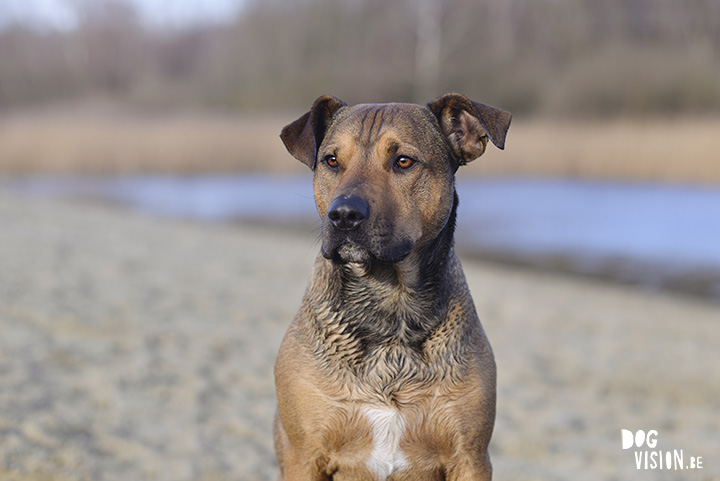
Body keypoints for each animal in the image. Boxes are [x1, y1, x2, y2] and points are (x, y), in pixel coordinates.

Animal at [272, 92, 512, 478]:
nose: (343, 214)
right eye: (331, 160)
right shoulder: (304, 454)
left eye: (403, 161)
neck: (390, 300)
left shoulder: (470, 456)